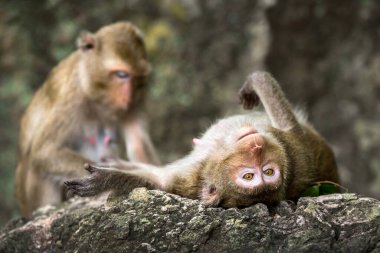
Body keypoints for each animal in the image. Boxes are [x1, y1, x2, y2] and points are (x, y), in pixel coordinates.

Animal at [14, 21, 160, 217]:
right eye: (122, 75)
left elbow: (139, 147)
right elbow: (45, 150)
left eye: (138, 78)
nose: (127, 99)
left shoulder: (137, 100)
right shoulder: (72, 95)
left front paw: (110, 177)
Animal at [64, 71, 338, 208]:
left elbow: (156, 183)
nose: (257, 145)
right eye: (252, 175)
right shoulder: (190, 178)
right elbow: (159, 180)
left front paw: (105, 180)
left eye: (266, 173)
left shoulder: (292, 143)